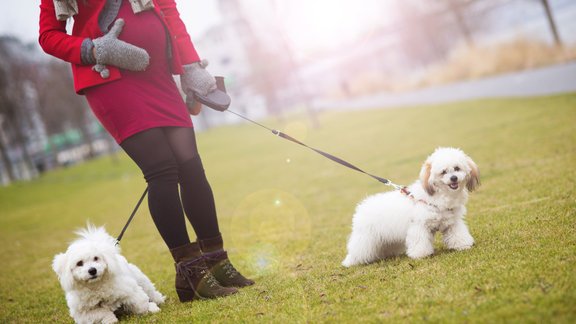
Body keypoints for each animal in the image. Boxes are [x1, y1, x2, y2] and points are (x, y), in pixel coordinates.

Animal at [342, 147, 482, 266]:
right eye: (443, 172)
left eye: (457, 168)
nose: (453, 178)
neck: (440, 196)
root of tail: (363, 205)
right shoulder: (419, 226)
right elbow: (420, 242)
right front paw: (421, 254)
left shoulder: (452, 222)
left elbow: (458, 234)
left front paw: (463, 245)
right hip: (365, 238)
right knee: (357, 250)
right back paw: (350, 262)